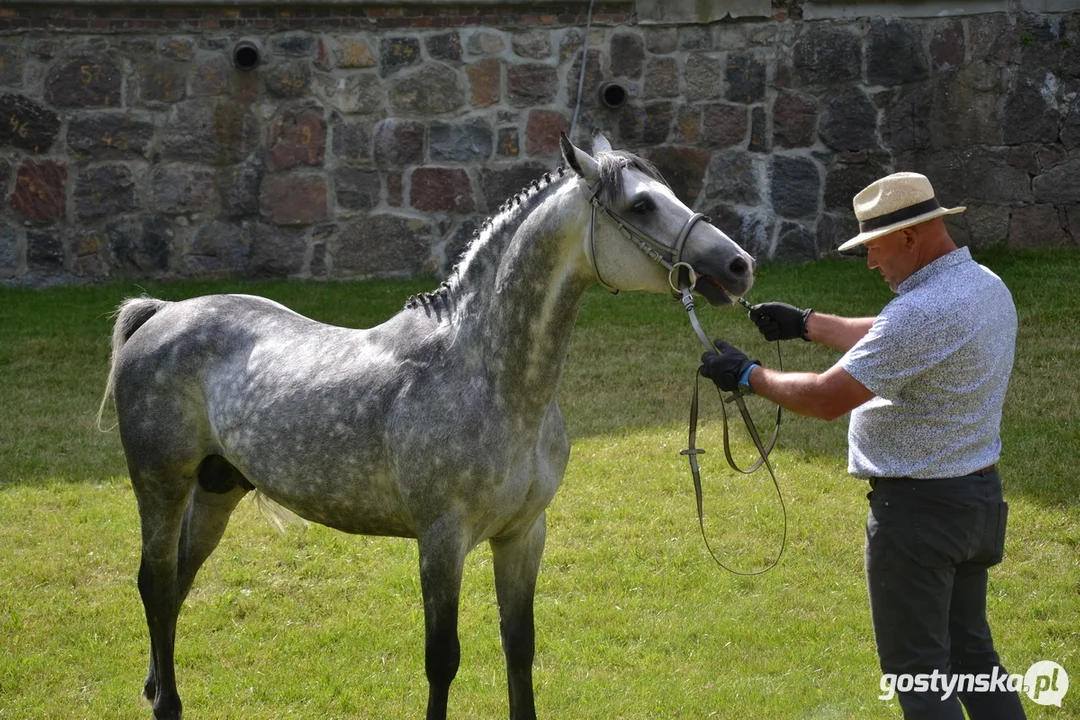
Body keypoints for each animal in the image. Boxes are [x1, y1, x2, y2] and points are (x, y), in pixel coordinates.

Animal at [105, 132, 756, 716]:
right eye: (642, 204)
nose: (739, 265)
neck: (488, 379)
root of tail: (162, 315)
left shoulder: (523, 534)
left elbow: (520, 649)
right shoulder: (442, 542)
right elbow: (442, 659)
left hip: (217, 488)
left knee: (177, 582)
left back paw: (155, 687)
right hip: (161, 487)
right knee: (155, 583)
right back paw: (168, 704)